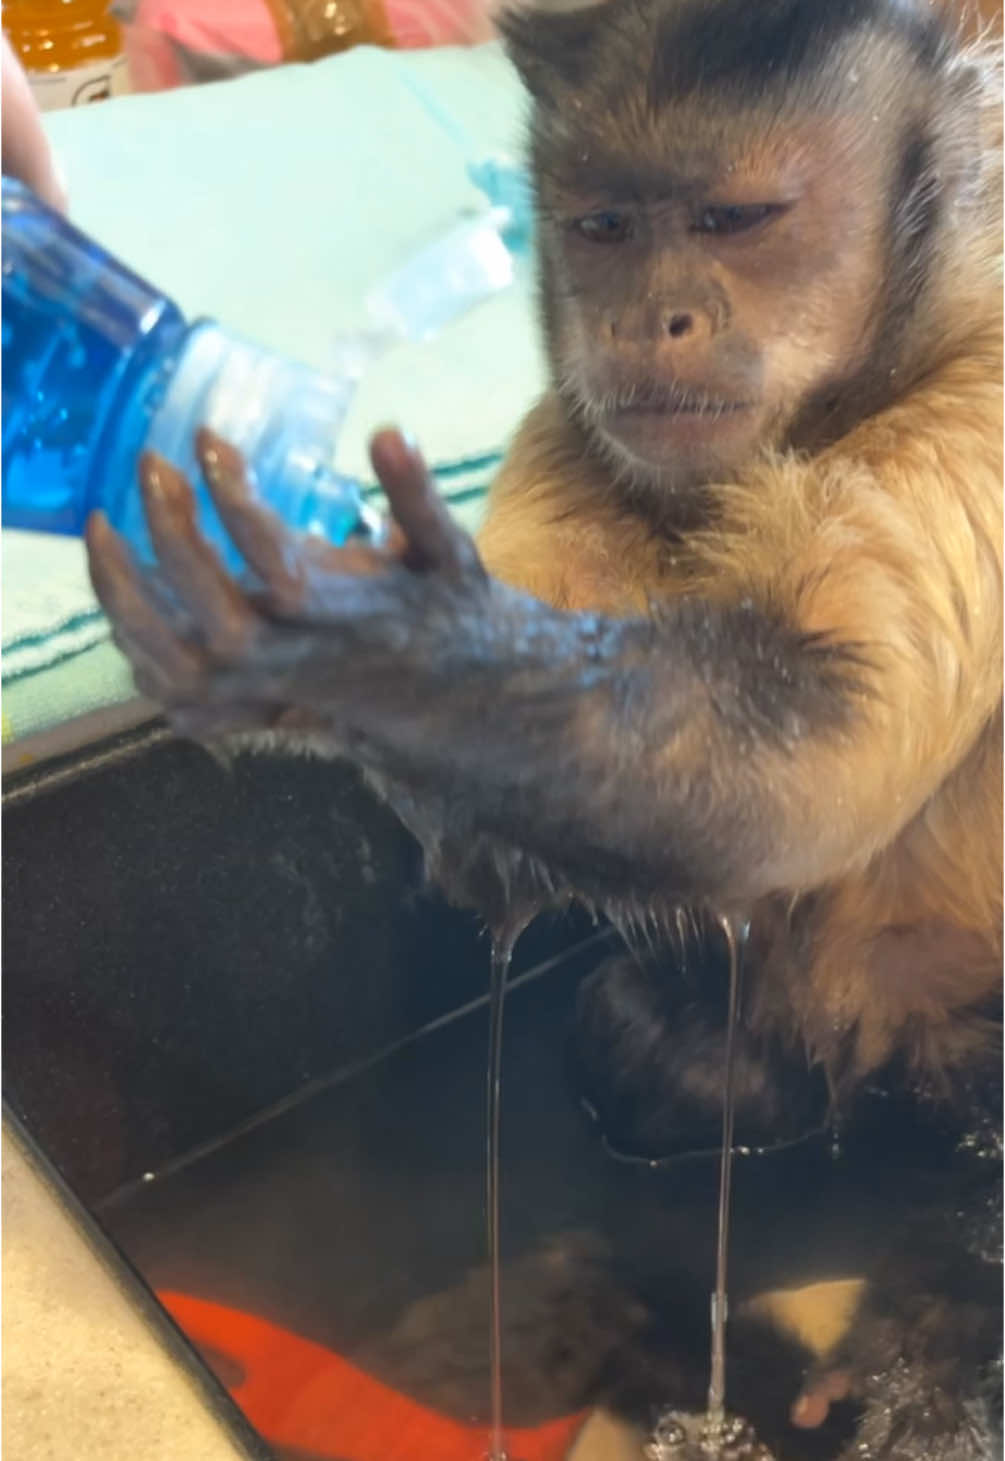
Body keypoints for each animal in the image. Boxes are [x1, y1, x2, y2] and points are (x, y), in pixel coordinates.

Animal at [90, 5, 999, 1455]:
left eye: (739, 218)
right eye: (603, 229)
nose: (654, 317)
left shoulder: (978, 390)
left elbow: (810, 767)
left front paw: (372, 647)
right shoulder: (572, 426)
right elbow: (501, 853)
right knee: (643, 1054)